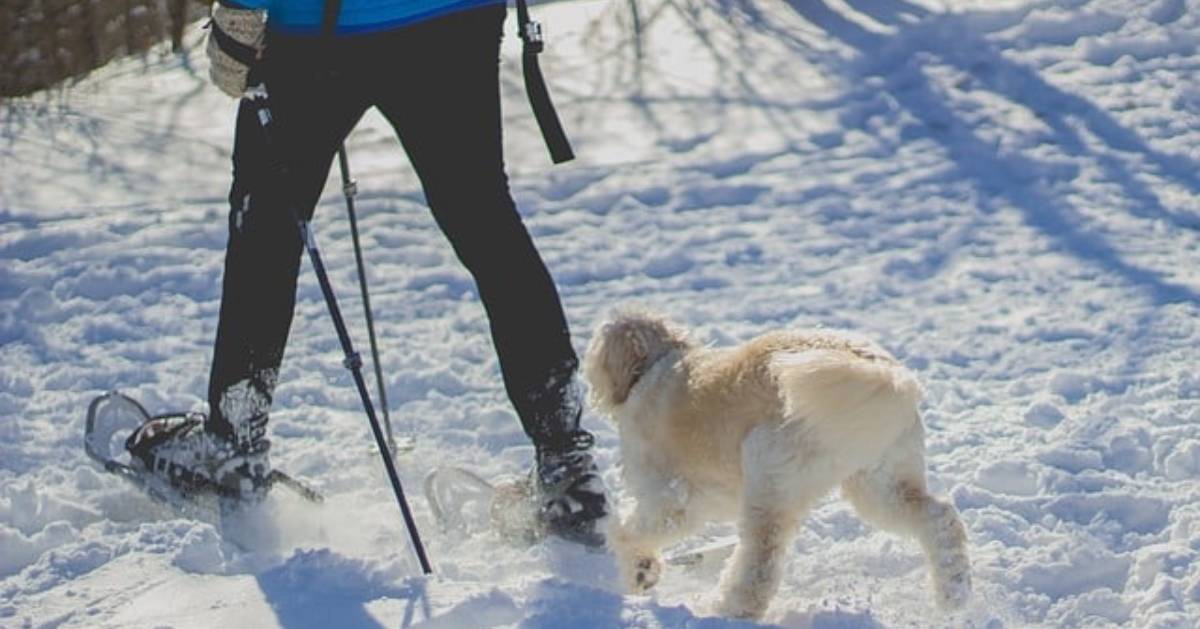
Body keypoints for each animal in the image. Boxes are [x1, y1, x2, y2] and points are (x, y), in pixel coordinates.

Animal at [585, 309, 969, 619]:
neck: (657, 365)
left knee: (760, 565)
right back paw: (953, 596)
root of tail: (884, 374)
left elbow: (630, 533)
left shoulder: (673, 498)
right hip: (881, 483)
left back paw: (727, 610)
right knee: (940, 520)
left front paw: (638, 568)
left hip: (769, 477)